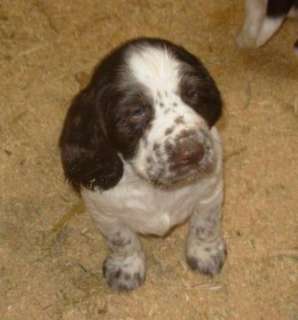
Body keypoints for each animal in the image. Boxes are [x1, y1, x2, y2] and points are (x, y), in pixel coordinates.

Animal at [58, 37, 226, 290]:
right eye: (136, 112)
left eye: (193, 94)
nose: (192, 152)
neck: (154, 188)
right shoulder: (104, 212)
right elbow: (121, 240)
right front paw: (126, 270)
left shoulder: (210, 193)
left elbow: (205, 225)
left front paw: (206, 253)